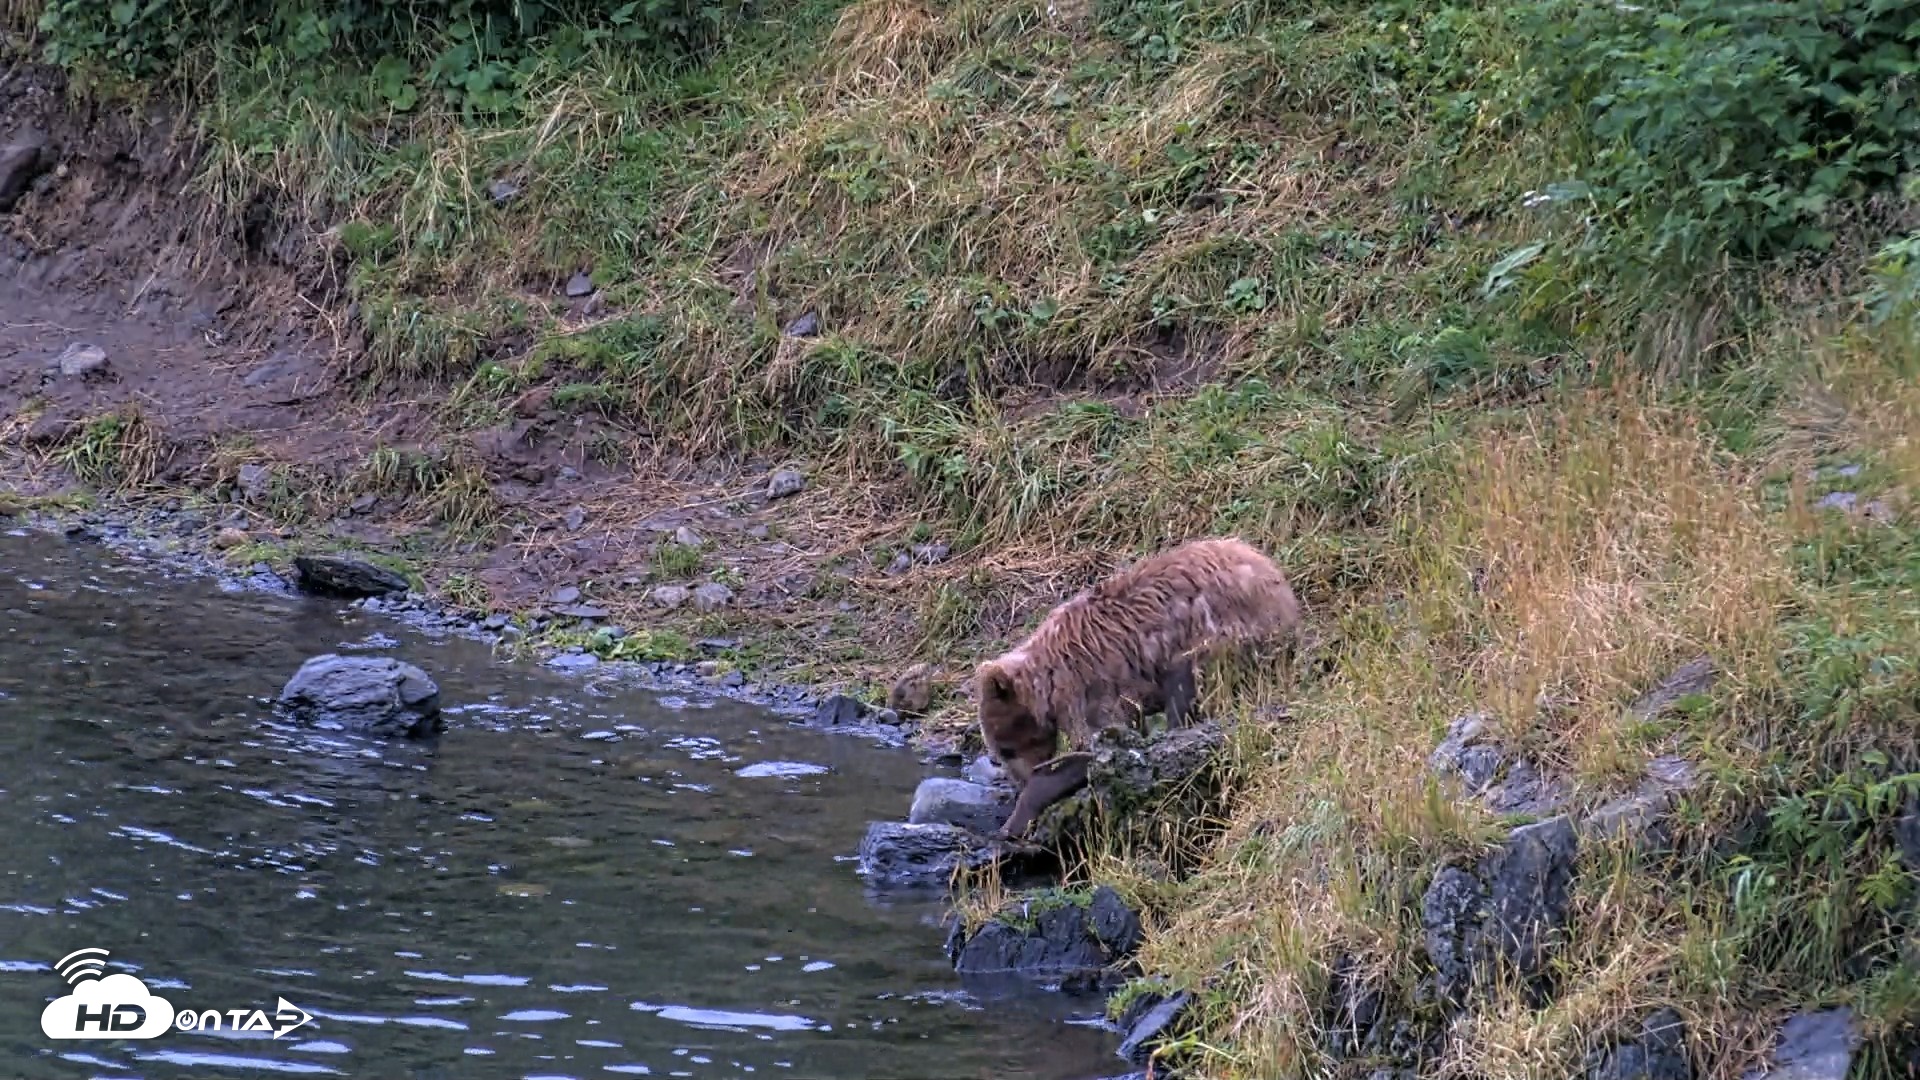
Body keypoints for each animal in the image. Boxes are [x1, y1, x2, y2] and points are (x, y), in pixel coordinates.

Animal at [973, 536, 1301, 837]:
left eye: (1006, 750)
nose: (1021, 781)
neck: (1048, 685)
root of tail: (1279, 585)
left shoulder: (1088, 688)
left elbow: (1095, 745)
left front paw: (1015, 819)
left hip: (1216, 632)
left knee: (1185, 685)